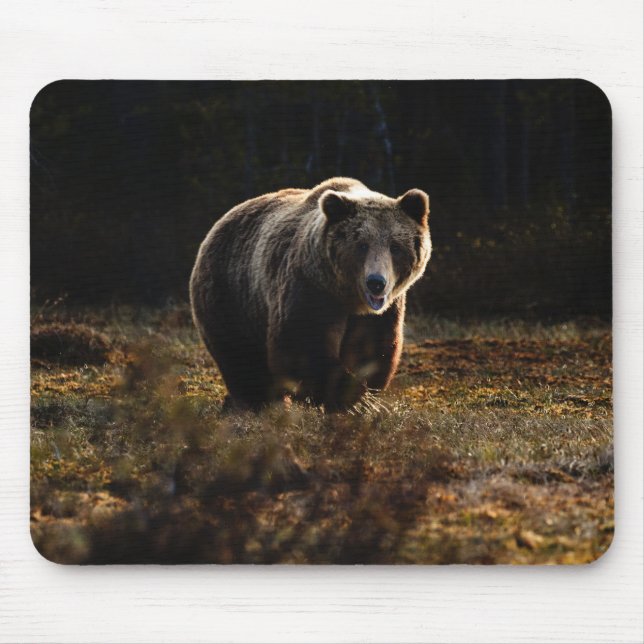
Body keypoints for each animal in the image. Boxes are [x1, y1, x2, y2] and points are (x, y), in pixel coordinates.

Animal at [189, 177, 431, 411]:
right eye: (361, 245)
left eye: (395, 246)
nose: (376, 283)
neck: (348, 297)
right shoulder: (310, 288)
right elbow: (302, 346)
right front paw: (353, 399)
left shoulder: (381, 312)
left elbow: (371, 348)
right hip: (231, 294)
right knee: (241, 356)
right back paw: (257, 402)